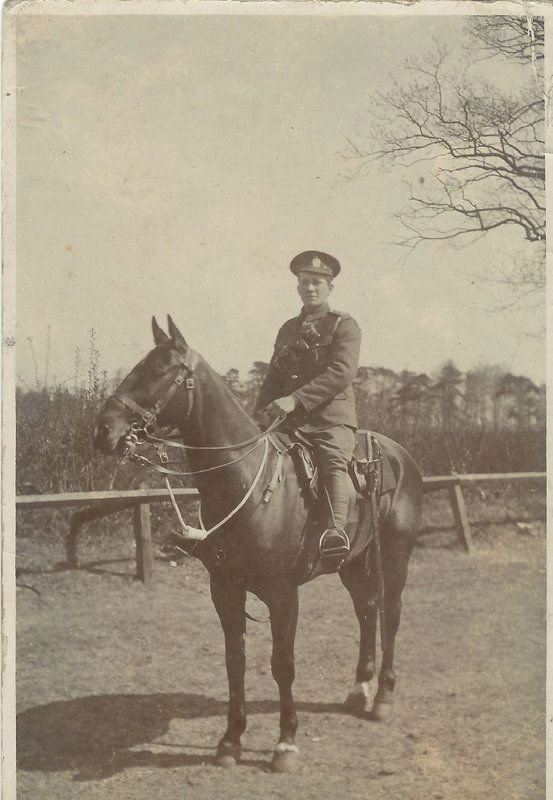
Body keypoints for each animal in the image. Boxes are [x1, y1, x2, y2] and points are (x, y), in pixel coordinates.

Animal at [96, 318, 422, 776]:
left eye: (158, 370)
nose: (102, 430)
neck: (247, 480)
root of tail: (399, 456)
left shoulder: (283, 595)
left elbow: (282, 665)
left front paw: (285, 744)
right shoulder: (225, 590)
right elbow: (236, 663)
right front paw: (230, 741)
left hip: (393, 558)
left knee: (390, 614)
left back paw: (383, 698)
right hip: (352, 564)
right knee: (367, 611)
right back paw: (359, 688)